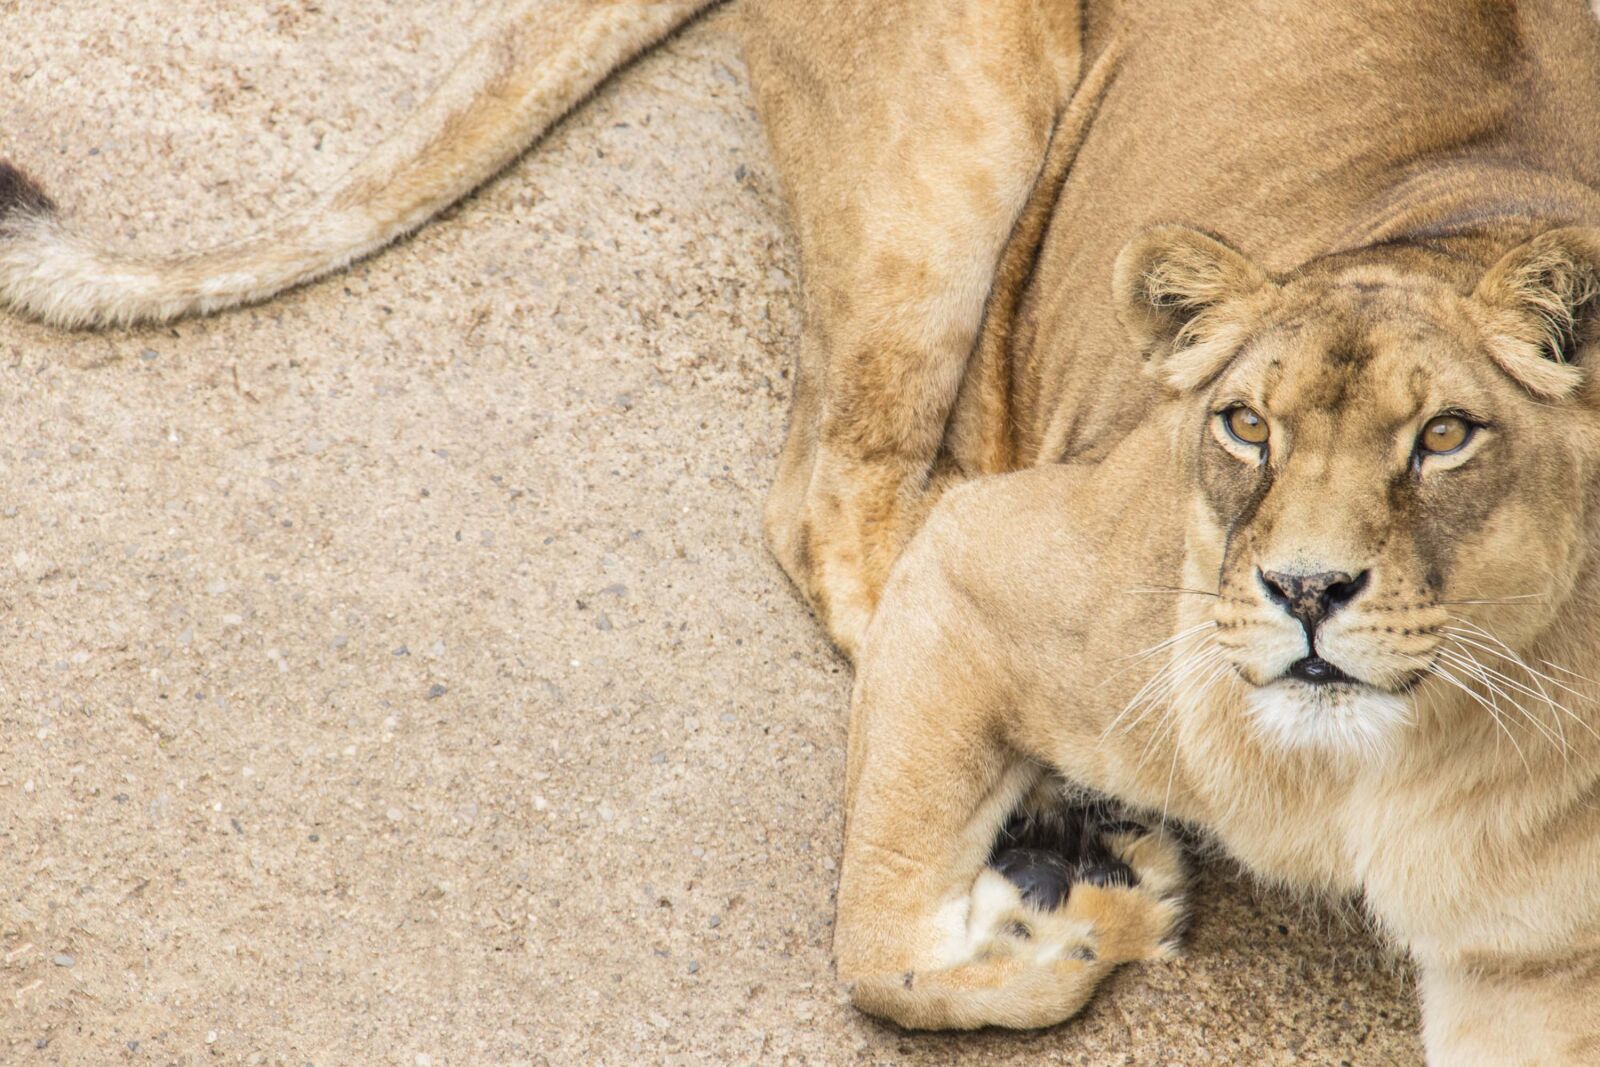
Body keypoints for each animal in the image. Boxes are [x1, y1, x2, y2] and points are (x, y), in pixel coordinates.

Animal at [4, 0, 1600, 1060]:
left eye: (1444, 437)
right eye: (1244, 426)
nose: (1307, 589)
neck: (1373, 766)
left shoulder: (1536, 966)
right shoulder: (988, 568)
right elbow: (879, 937)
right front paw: (1078, 907)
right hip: (957, 141)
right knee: (839, 498)